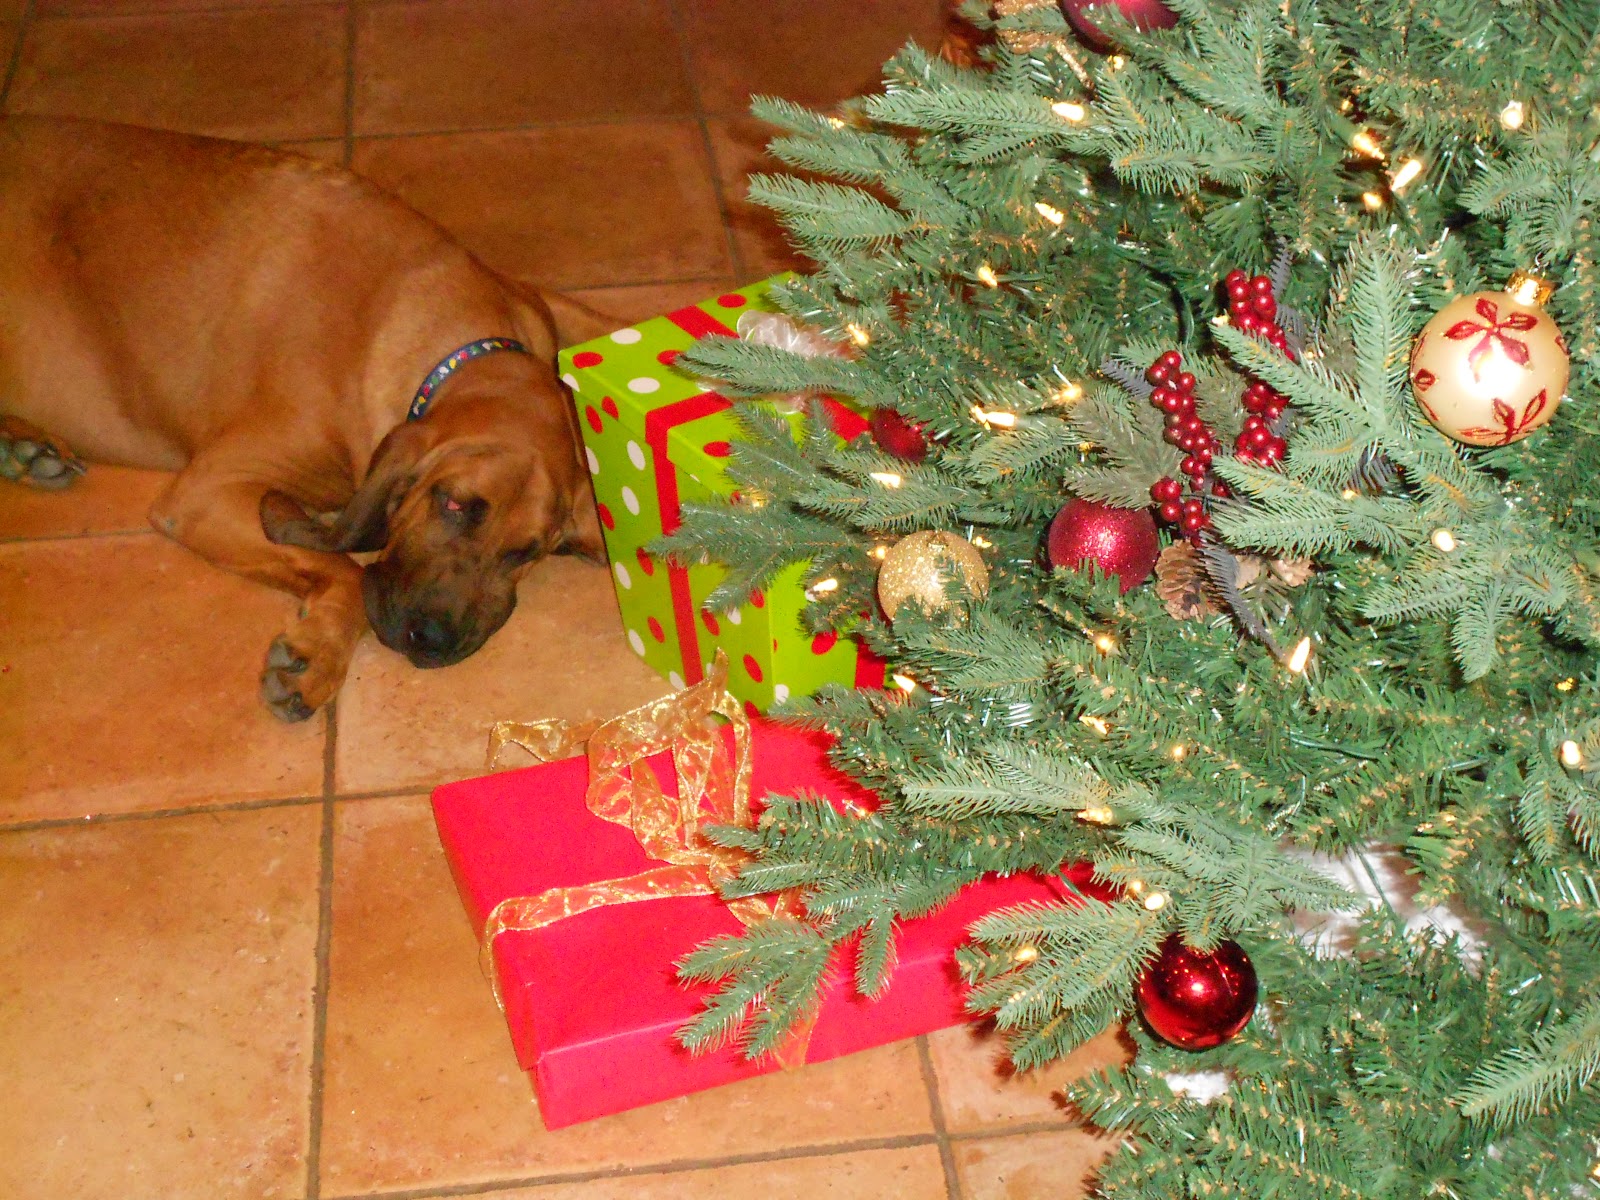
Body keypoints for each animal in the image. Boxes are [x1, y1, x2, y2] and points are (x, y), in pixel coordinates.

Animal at [0, 115, 609, 721]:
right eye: (452, 504)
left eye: (526, 552)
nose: (434, 642)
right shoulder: (208, 492)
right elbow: (346, 568)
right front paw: (319, 653)